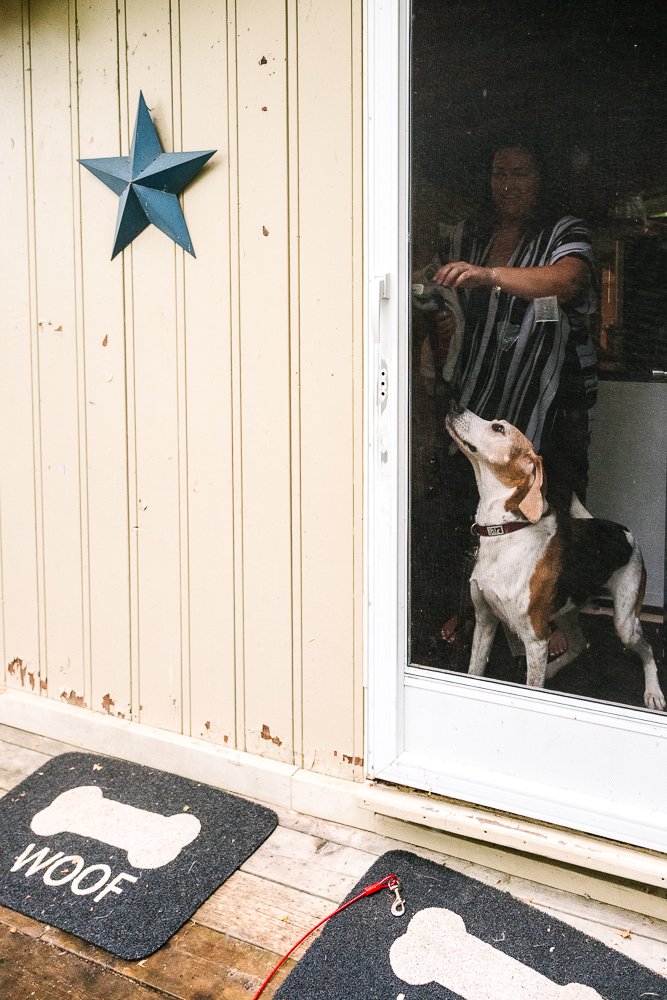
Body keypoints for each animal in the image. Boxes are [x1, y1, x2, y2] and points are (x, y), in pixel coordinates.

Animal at [446, 400, 664, 712]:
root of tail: (624, 530)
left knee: (646, 649)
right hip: (566, 612)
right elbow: (475, 670)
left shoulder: (536, 639)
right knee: (579, 644)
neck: (505, 532)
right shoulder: (485, 620)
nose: (455, 405)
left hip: (625, 622)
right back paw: (553, 670)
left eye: (498, 428)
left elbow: (531, 685)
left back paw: (653, 691)